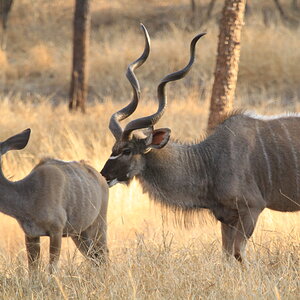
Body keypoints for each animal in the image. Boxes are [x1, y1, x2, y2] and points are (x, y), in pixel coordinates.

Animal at [0, 129, 109, 272]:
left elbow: (52, 268)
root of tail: (102, 179)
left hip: (99, 225)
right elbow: (33, 270)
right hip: (80, 233)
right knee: (95, 258)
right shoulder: (31, 234)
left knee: (104, 256)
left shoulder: (56, 229)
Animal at [101, 25, 300, 262]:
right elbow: (226, 255)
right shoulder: (227, 218)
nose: (104, 175)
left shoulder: (251, 208)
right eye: (113, 148)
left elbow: (238, 253)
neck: (209, 161)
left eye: (127, 150)